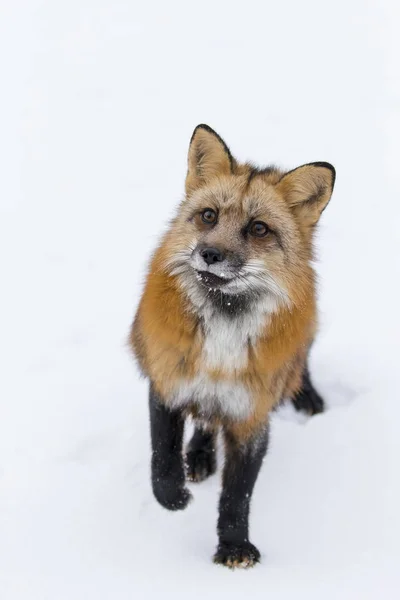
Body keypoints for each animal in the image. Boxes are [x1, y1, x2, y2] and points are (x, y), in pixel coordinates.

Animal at [130, 125, 334, 568]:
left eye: (259, 228)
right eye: (209, 216)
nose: (210, 254)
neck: (223, 335)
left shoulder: (251, 414)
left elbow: (237, 495)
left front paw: (234, 546)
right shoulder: (168, 384)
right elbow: (162, 458)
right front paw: (173, 498)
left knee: (301, 364)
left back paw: (307, 396)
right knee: (204, 422)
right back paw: (199, 455)